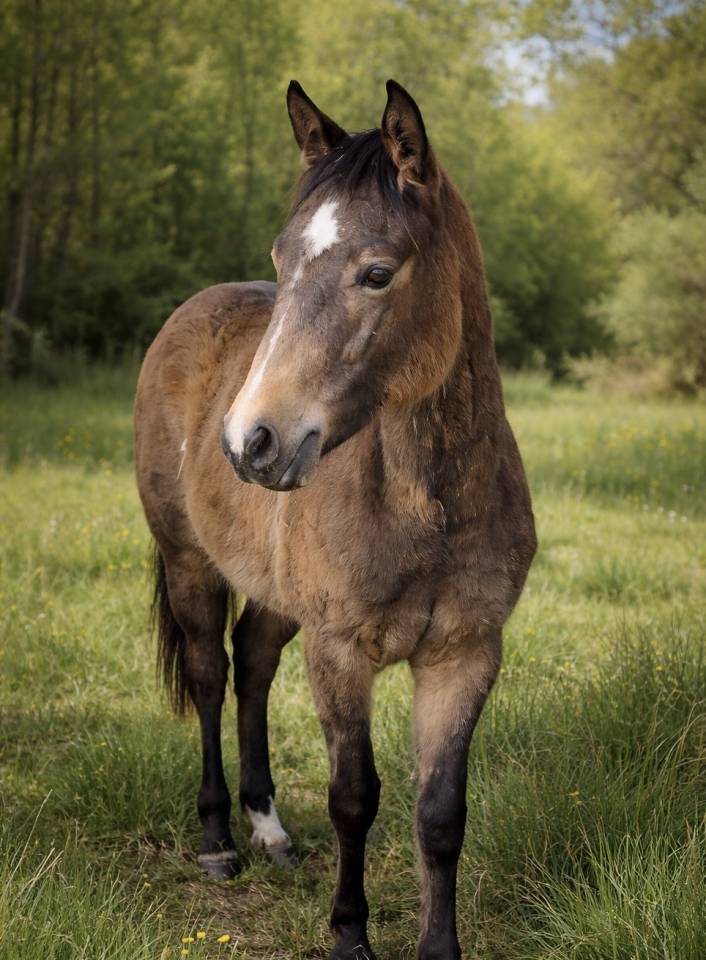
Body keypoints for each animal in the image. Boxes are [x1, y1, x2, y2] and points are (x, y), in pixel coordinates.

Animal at [134, 79, 536, 960]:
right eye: (282, 260)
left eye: (377, 273)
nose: (251, 441)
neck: (427, 504)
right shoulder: (341, 651)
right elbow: (355, 797)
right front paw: (349, 935)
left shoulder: (464, 656)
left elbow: (439, 814)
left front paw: (439, 946)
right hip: (189, 562)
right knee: (212, 676)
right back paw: (218, 841)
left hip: (280, 600)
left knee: (252, 665)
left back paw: (269, 831)